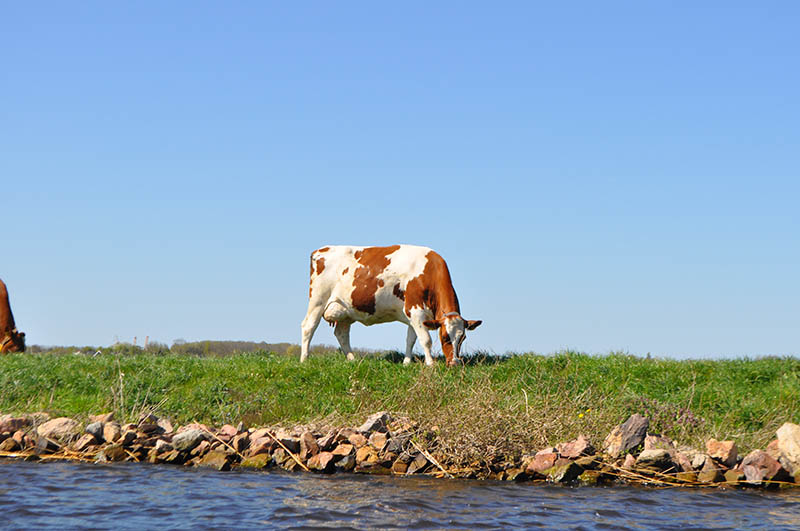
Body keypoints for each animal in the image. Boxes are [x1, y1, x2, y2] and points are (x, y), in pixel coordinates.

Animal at [296, 245, 478, 366]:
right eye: (445, 337)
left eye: (463, 338)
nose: (455, 363)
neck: (428, 271)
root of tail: (321, 250)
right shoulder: (415, 310)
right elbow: (425, 340)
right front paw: (430, 364)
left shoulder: (414, 315)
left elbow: (411, 339)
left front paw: (406, 362)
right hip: (318, 300)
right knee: (308, 326)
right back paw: (304, 359)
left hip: (345, 310)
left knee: (341, 333)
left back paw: (352, 359)